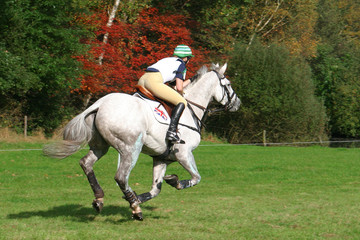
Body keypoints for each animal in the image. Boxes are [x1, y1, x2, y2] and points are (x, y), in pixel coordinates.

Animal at [44, 62, 242, 220]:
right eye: (229, 85)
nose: (237, 104)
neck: (191, 109)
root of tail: (99, 104)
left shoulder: (162, 159)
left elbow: (155, 189)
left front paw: (139, 195)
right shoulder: (183, 153)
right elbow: (196, 178)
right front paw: (174, 182)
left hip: (101, 146)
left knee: (86, 163)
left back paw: (101, 199)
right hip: (131, 148)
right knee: (121, 176)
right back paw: (135, 209)